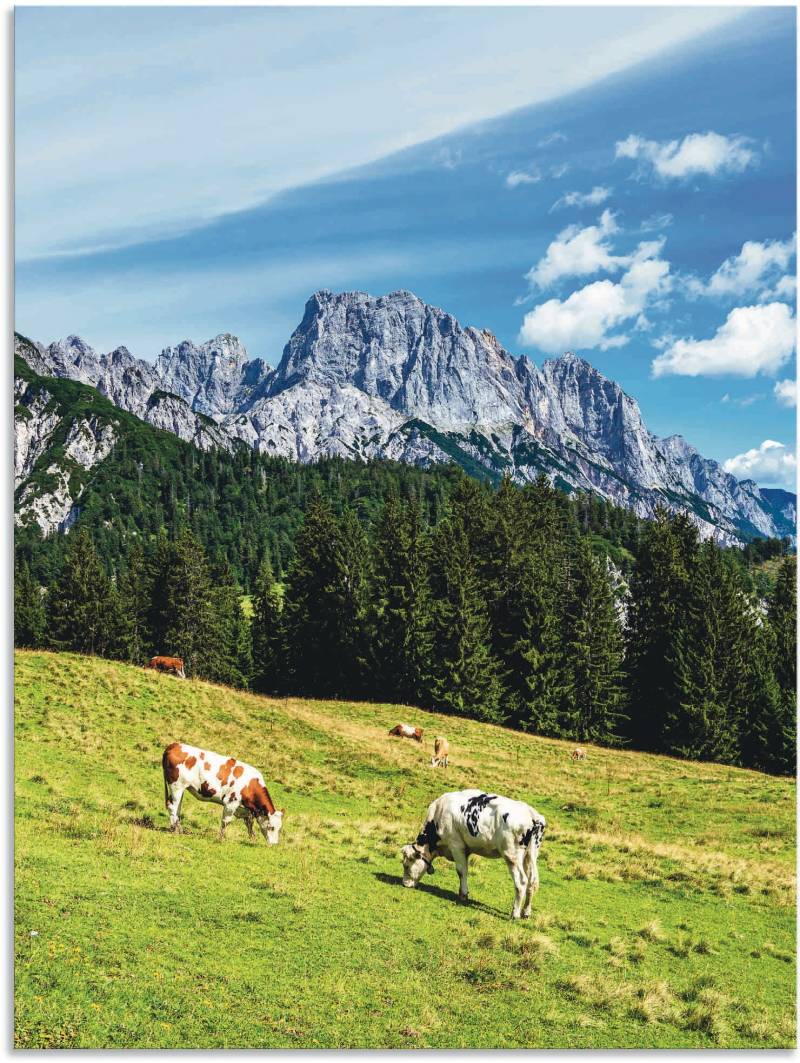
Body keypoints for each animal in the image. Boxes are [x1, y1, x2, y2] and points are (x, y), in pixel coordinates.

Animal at [397, 790, 543, 922]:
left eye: (407, 865)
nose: (405, 884)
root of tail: (532, 815)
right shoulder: (466, 850)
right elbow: (465, 871)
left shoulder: (456, 845)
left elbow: (461, 871)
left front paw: (463, 895)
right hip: (530, 855)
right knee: (533, 881)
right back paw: (526, 913)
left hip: (512, 856)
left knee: (522, 882)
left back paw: (515, 914)